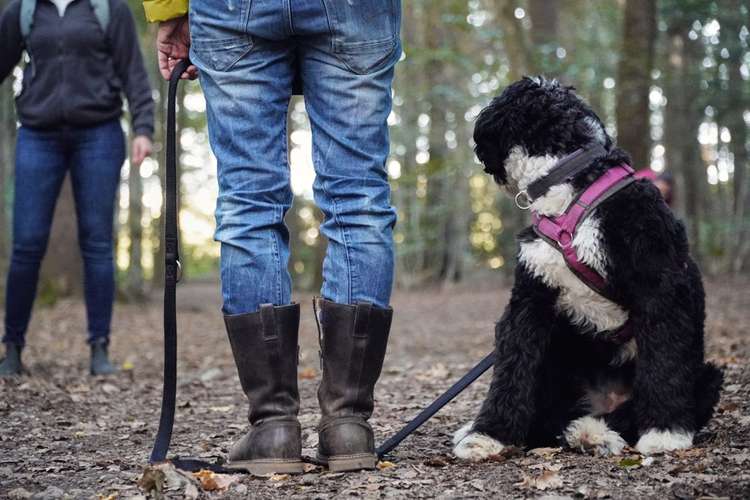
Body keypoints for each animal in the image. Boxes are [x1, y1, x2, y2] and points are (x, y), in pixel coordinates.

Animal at [456, 76, 724, 458]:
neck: (571, 189)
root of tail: (603, 402)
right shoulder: (530, 301)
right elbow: (511, 369)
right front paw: (487, 435)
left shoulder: (662, 287)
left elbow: (665, 361)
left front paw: (665, 432)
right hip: (557, 356)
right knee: (549, 420)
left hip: (706, 374)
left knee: (626, 412)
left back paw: (594, 431)